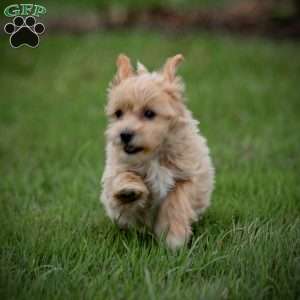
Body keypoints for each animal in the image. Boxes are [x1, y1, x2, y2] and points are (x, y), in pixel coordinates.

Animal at [102, 54, 214, 251]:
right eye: (118, 113)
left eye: (149, 113)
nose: (124, 134)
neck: (153, 155)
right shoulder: (115, 170)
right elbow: (123, 176)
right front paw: (128, 190)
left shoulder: (187, 176)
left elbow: (176, 201)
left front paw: (174, 238)